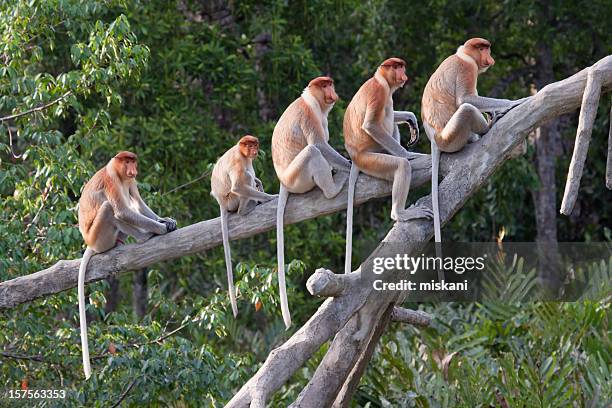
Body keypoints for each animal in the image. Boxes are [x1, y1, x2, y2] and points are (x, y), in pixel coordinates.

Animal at [76, 151, 177, 380]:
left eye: (133, 161)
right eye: (127, 161)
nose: (133, 168)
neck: (120, 173)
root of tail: (89, 242)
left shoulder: (130, 181)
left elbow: (138, 203)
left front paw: (165, 220)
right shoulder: (112, 179)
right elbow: (122, 211)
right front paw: (159, 228)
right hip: (100, 237)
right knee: (110, 209)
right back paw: (143, 236)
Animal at [212, 135, 276, 318]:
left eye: (255, 145)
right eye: (249, 145)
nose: (254, 151)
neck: (241, 151)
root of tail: (221, 203)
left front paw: (259, 183)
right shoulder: (238, 161)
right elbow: (239, 186)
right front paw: (269, 197)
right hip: (232, 200)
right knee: (245, 179)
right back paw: (247, 208)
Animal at [272, 75, 352, 326]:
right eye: (324, 85)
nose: (333, 93)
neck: (312, 101)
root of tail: (283, 181)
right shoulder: (308, 115)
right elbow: (319, 144)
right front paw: (350, 166)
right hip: (298, 177)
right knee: (312, 152)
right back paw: (333, 189)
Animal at [344, 57, 430, 274]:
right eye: (397, 67)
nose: (404, 75)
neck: (380, 80)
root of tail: (355, 157)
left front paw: (411, 118)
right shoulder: (379, 92)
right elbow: (371, 125)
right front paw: (409, 154)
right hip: (371, 158)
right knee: (400, 164)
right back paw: (400, 213)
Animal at [424, 37, 528, 242]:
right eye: (482, 49)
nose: (490, 58)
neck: (463, 54)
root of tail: (434, 138)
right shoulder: (468, 67)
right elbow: (466, 98)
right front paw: (513, 103)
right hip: (451, 137)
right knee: (466, 109)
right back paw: (487, 128)